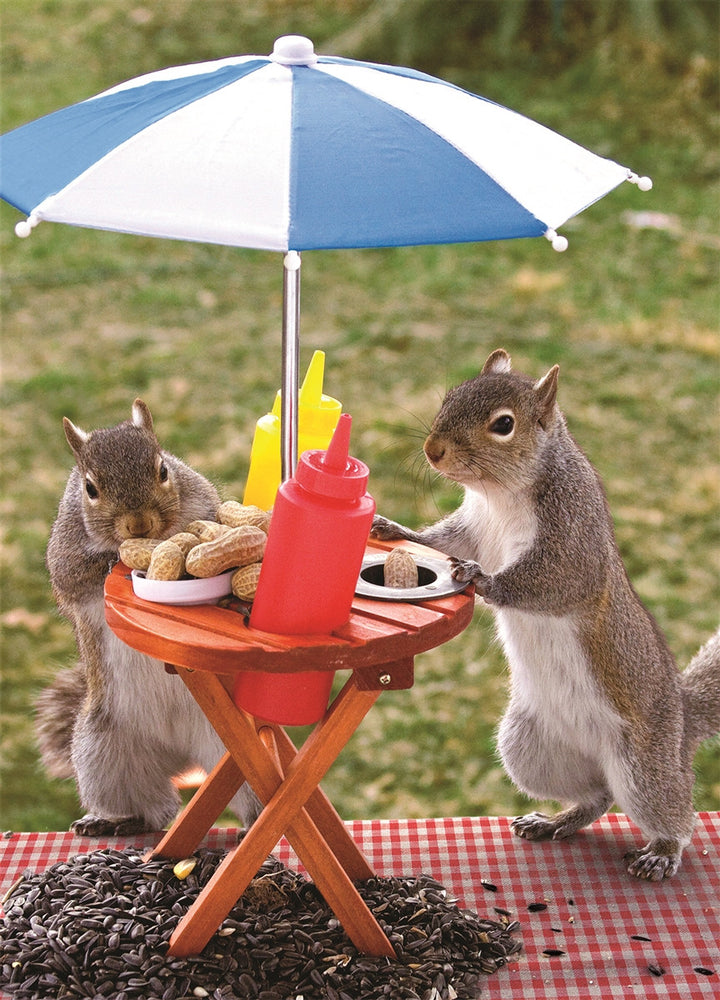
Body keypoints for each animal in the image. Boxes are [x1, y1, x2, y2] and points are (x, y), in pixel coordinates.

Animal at [38, 399, 261, 836]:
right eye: (90, 488)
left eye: (163, 470)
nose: (139, 524)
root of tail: (182, 758)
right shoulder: (65, 553)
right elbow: (72, 575)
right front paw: (112, 561)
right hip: (103, 751)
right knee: (154, 809)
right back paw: (117, 822)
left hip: (235, 752)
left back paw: (252, 825)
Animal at [372, 348, 720, 880]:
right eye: (450, 397)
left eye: (504, 424)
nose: (433, 450)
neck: (500, 494)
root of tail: (683, 719)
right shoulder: (470, 526)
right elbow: (440, 541)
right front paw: (394, 528)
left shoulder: (571, 541)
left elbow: (549, 582)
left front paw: (481, 579)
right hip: (528, 747)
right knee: (597, 796)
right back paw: (555, 821)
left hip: (643, 764)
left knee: (672, 809)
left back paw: (662, 851)